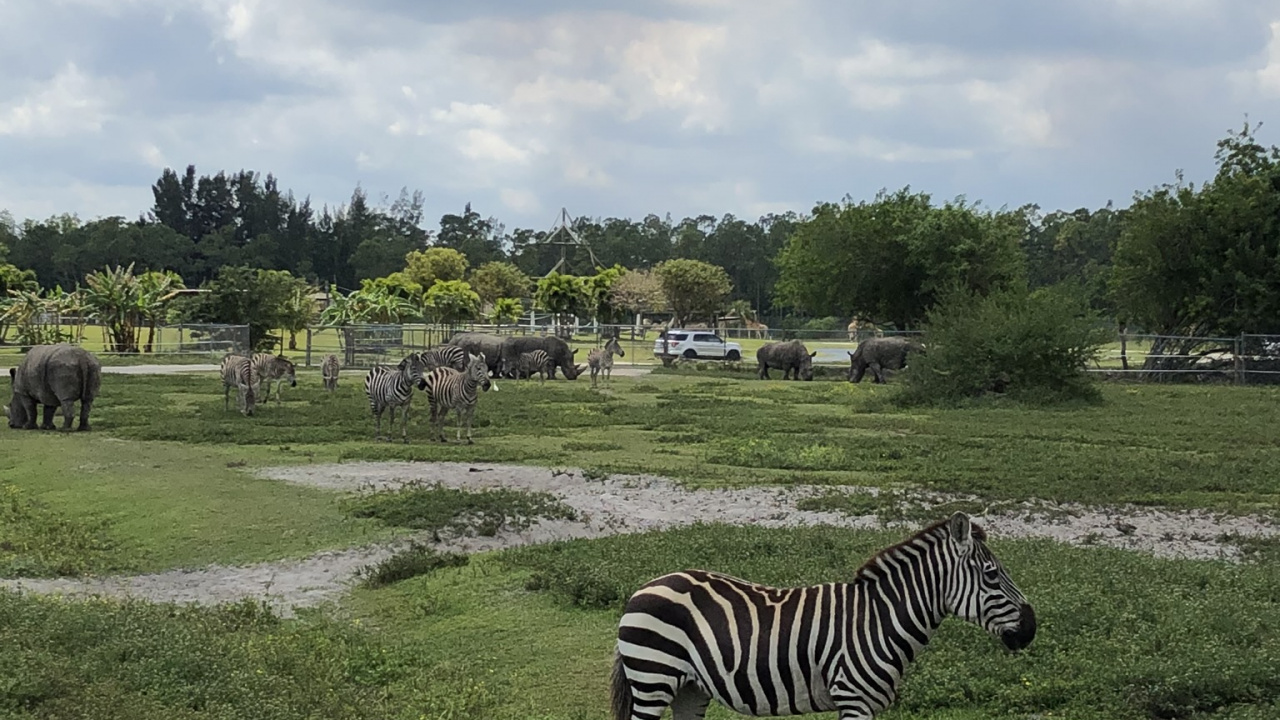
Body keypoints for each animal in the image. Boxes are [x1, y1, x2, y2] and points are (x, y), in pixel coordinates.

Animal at [610, 512, 1036, 720]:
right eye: (992, 575)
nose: (1031, 629)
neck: (879, 619)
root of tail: (644, 587)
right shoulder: (854, 699)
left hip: (689, 689)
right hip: (653, 678)